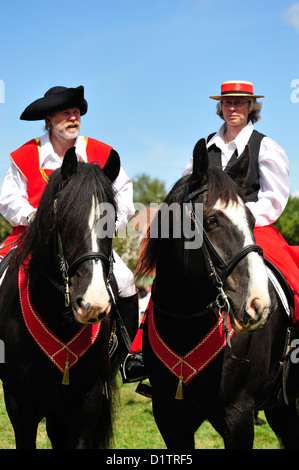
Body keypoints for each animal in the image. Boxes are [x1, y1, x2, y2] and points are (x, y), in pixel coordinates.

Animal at [139, 139, 299, 448]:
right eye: (212, 220)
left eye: (251, 219)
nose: (259, 305)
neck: (185, 324)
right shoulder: (168, 416)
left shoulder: (238, 414)